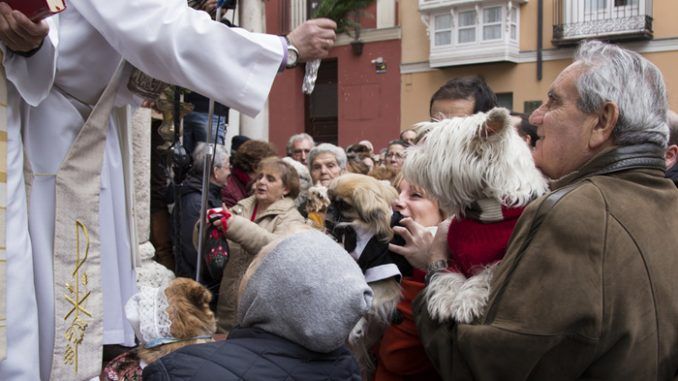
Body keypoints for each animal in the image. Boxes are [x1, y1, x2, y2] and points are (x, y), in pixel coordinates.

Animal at [406, 107, 548, 324]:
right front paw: (445, 299)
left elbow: (484, 274)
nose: (408, 149)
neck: (481, 214)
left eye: (430, 144)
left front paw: (467, 300)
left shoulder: (502, 259)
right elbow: (447, 275)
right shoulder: (453, 256)